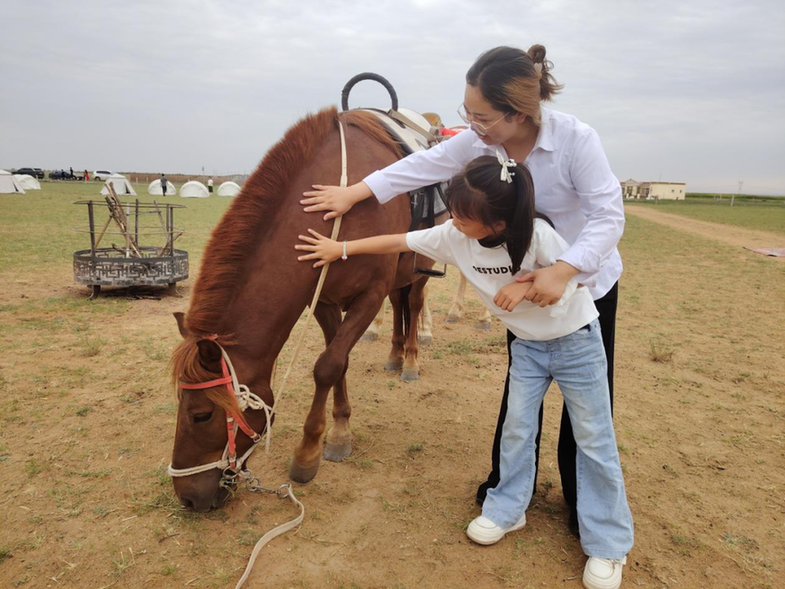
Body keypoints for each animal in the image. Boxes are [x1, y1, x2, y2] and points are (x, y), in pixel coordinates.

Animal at [169, 107, 434, 510]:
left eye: (201, 415)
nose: (186, 497)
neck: (339, 210)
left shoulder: (369, 296)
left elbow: (328, 366)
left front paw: (310, 451)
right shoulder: (322, 298)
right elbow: (338, 361)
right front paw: (340, 427)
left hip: (420, 269)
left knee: (414, 304)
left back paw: (411, 362)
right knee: (399, 305)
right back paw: (394, 354)